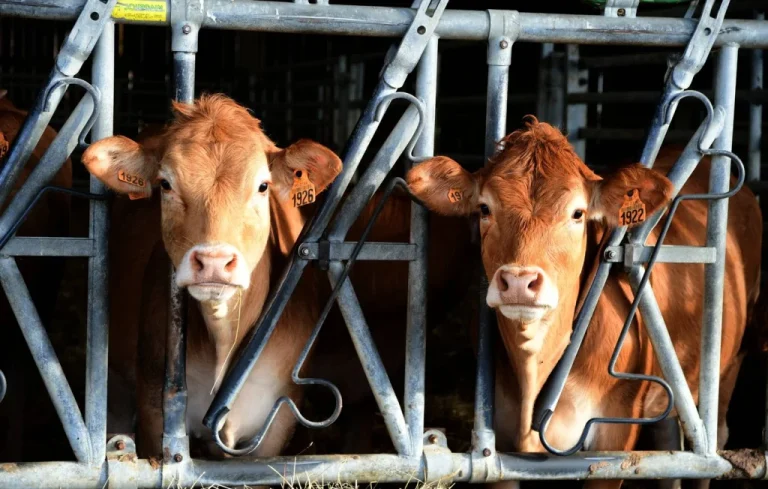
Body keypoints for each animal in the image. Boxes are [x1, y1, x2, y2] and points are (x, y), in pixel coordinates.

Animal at [405, 117, 761, 489]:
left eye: (577, 213)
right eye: (485, 208)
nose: (518, 281)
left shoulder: (613, 443)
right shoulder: (496, 448)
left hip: (729, 364)